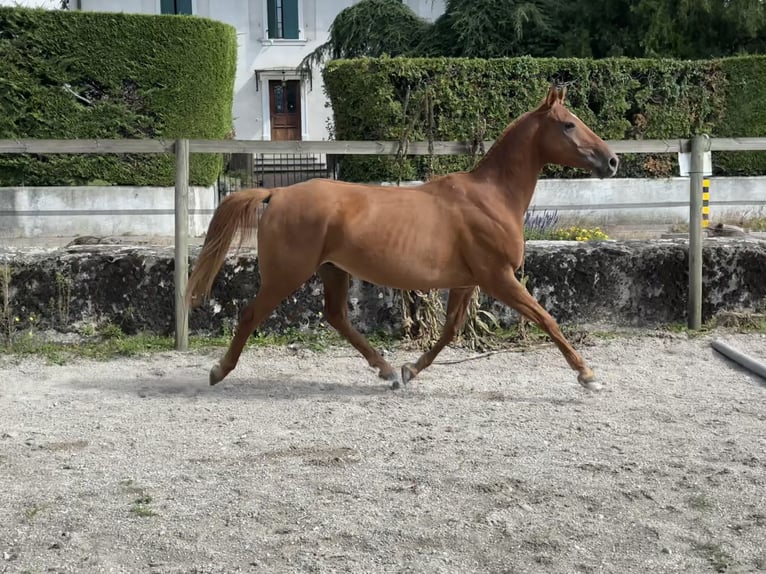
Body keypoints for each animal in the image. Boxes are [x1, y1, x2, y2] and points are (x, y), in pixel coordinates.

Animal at [189, 84, 620, 392]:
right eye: (568, 124)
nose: (612, 160)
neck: (491, 198)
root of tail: (276, 194)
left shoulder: (468, 281)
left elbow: (450, 330)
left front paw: (410, 369)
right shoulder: (499, 277)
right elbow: (548, 319)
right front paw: (588, 376)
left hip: (332, 270)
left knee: (337, 317)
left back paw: (386, 371)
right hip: (287, 274)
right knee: (251, 314)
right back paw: (218, 371)